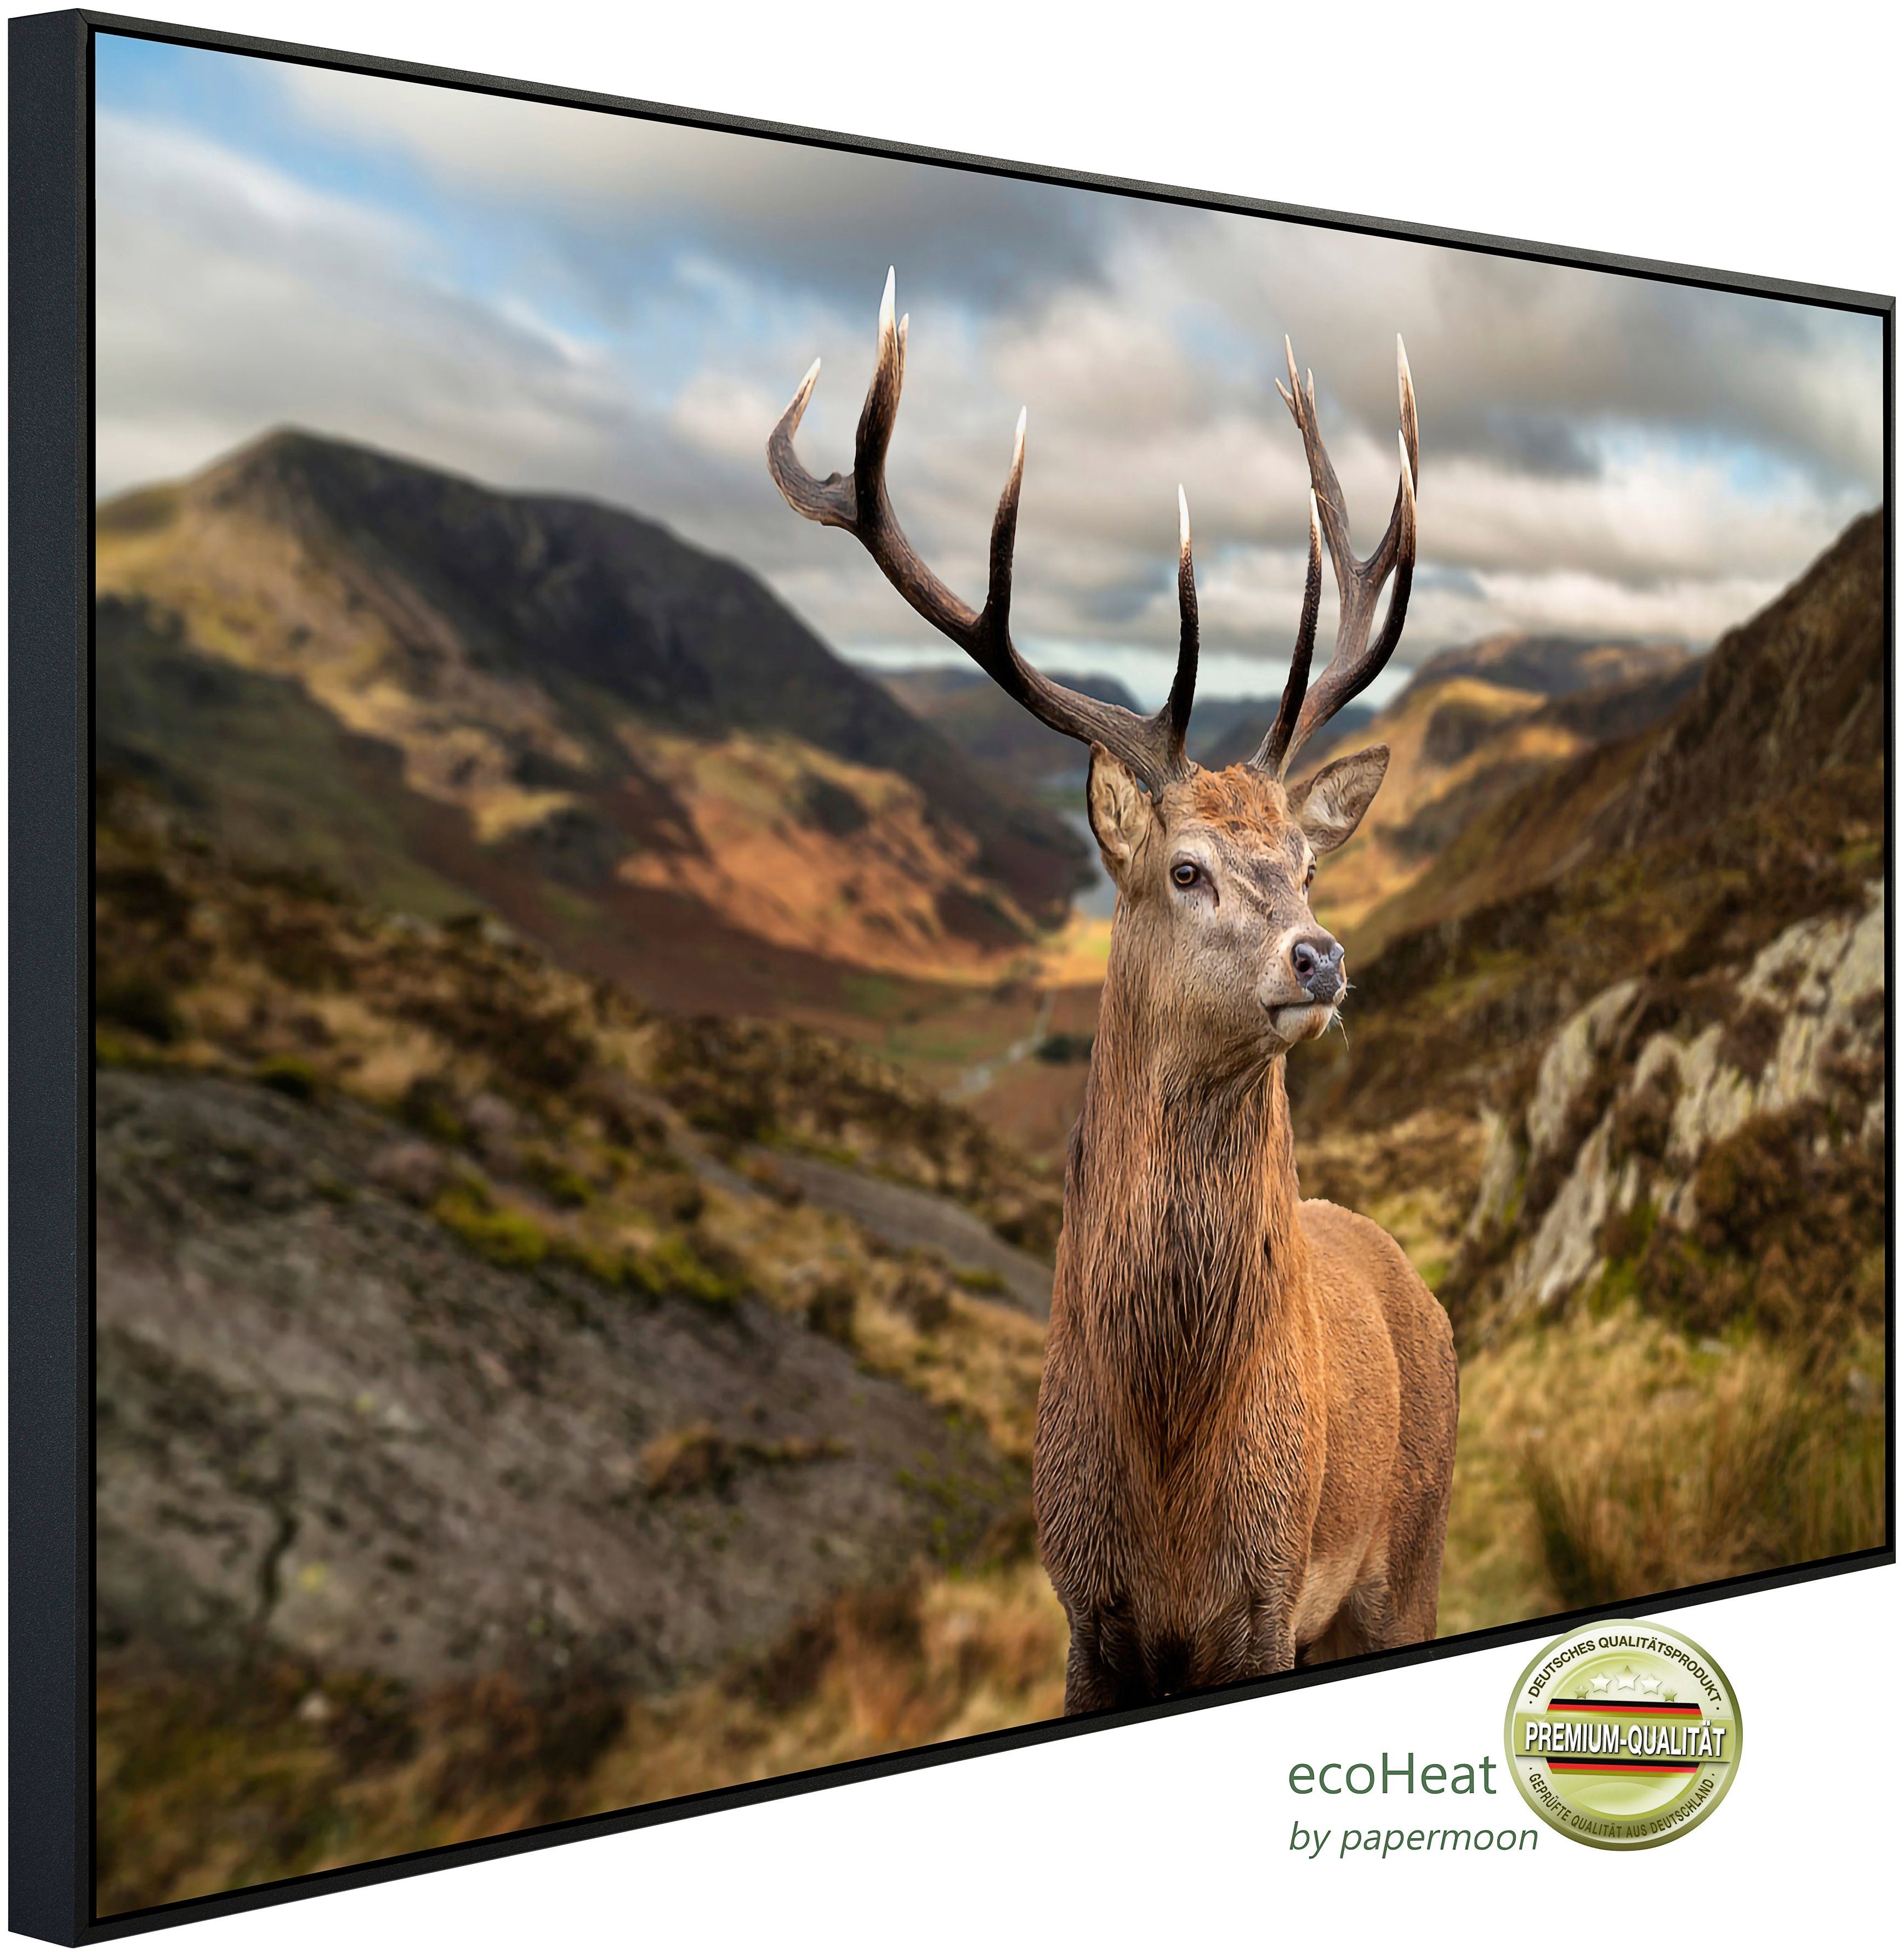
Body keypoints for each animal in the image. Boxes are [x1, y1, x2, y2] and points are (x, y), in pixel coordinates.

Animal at [768, 271, 1457, 1713]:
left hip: (1404, 1558)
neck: (1168, 1482)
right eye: (1184, 868)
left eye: (1308, 861)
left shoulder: (1266, 1596)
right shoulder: (1083, 1607)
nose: (1320, 955)